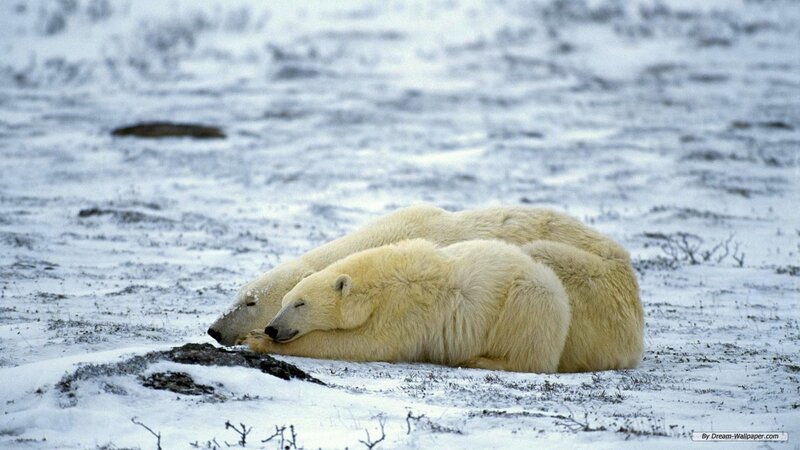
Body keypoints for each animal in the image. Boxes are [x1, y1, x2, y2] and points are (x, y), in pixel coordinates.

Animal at [246, 238, 644, 373]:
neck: (380, 282)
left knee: (530, 354)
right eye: (283, 300)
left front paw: (255, 340)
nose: (272, 327)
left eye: (299, 303)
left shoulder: (407, 309)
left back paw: (478, 359)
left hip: (529, 302)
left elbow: (369, 344)